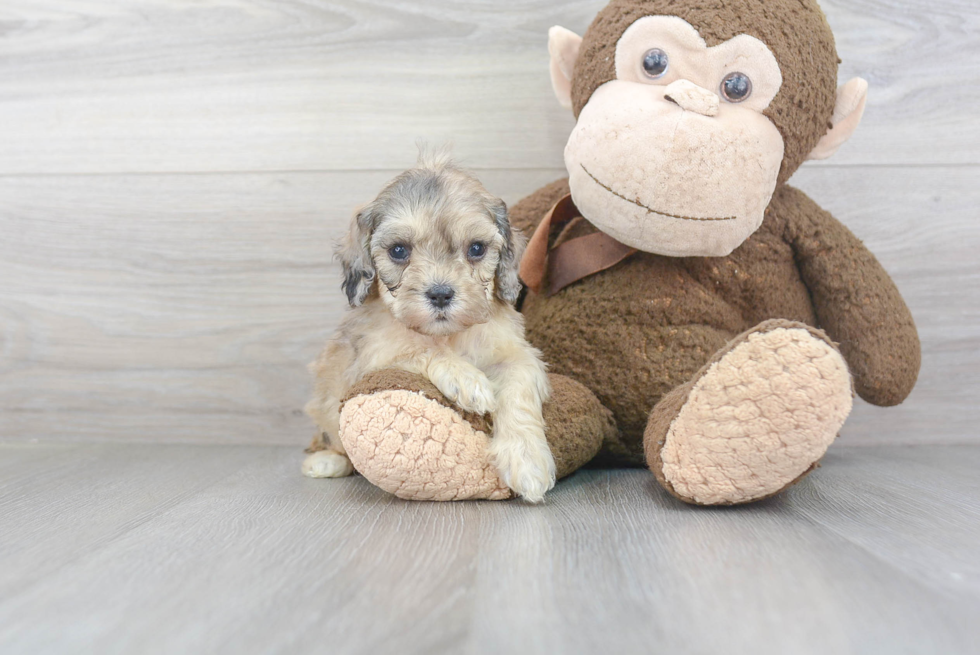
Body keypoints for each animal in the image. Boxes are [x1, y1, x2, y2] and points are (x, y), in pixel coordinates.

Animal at [302, 151, 556, 504]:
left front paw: (527, 461)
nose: (440, 294)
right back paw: (326, 460)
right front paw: (467, 380)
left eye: (476, 248)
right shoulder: (372, 359)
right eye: (399, 250)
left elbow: (518, 389)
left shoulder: (519, 356)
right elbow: (420, 349)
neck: (449, 335)